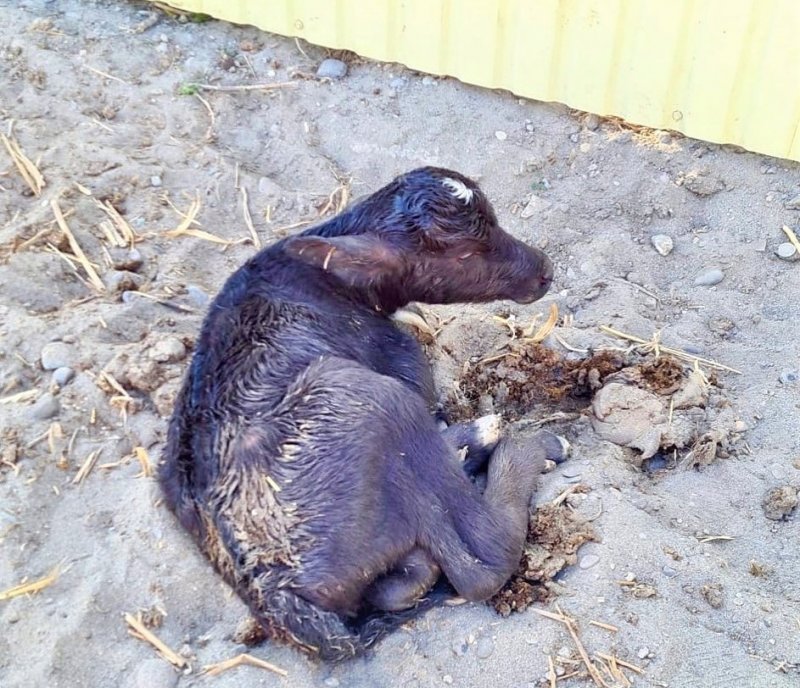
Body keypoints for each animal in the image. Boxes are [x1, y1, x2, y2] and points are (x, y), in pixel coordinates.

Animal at [161, 167, 556, 660]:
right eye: (465, 252)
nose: (545, 271)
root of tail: (274, 594)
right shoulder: (402, 363)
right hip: (371, 401)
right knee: (482, 561)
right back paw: (516, 445)